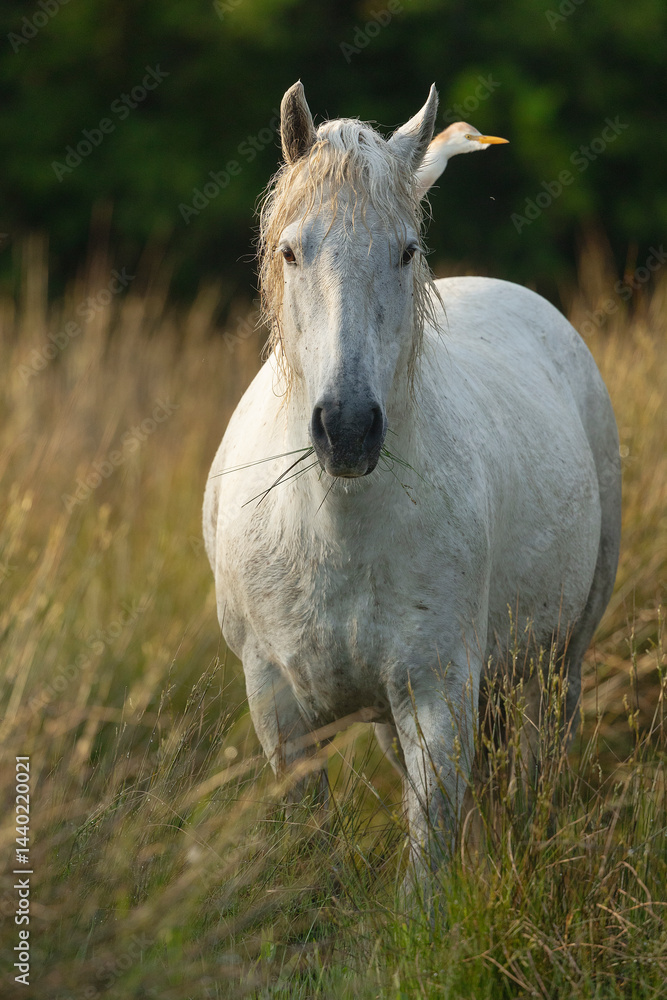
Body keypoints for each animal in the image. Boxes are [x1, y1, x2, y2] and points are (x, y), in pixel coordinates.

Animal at [203, 82, 621, 875]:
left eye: (405, 251)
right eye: (289, 250)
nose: (347, 429)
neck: (335, 523)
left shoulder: (438, 695)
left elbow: (427, 867)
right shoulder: (280, 710)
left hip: (558, 666)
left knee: (534, 776)